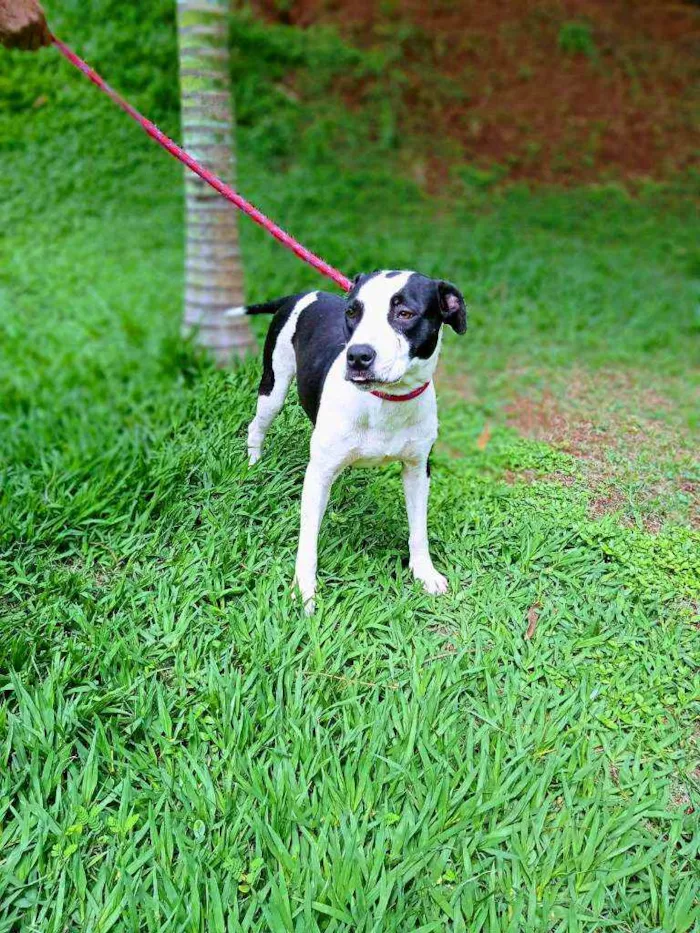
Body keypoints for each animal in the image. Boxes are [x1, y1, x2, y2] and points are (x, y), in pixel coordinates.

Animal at [230, 268, 468, 612]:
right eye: (353, 312)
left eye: (405, 313)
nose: (358, 355)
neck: (386, 400)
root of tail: (301, 295)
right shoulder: (317, 475)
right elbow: (308, 538)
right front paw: (304, 590)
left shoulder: (417, 469)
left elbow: (419, 529)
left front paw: (424, 573)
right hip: (273, 387)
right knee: (256, 427)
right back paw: (253, 464)